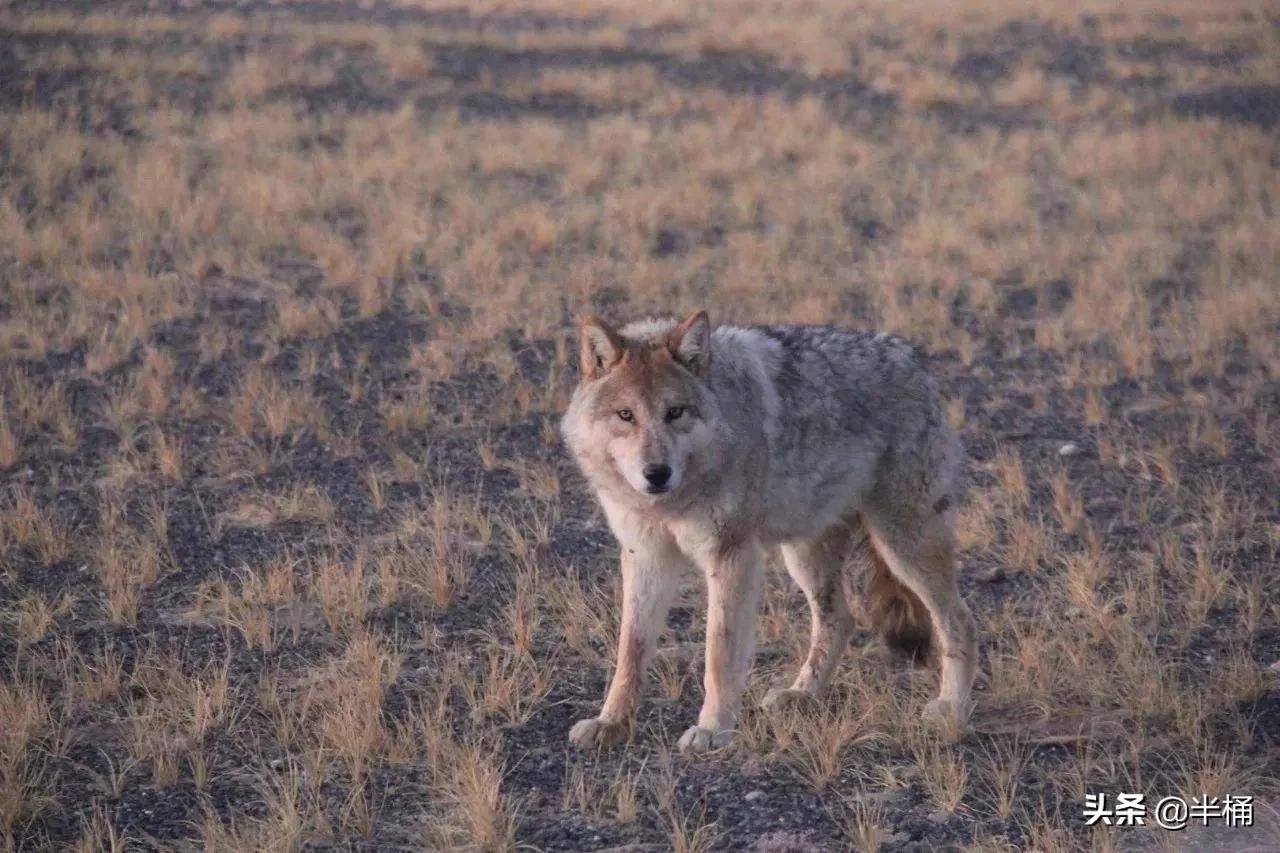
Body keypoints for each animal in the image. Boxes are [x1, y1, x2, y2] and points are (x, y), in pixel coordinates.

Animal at [563, 308, 977, 747]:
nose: (657, 474)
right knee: (840, 620)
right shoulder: (646, 556)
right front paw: (611, 722)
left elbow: (719, 652)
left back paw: (952, 708)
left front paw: (712, 729)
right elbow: (631, 649)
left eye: (675, 412)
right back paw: (802, 694)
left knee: (960, 620)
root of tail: (916, 360)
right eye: (626, 415)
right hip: (806, 557)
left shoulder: (732, 555)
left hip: (904, 547)